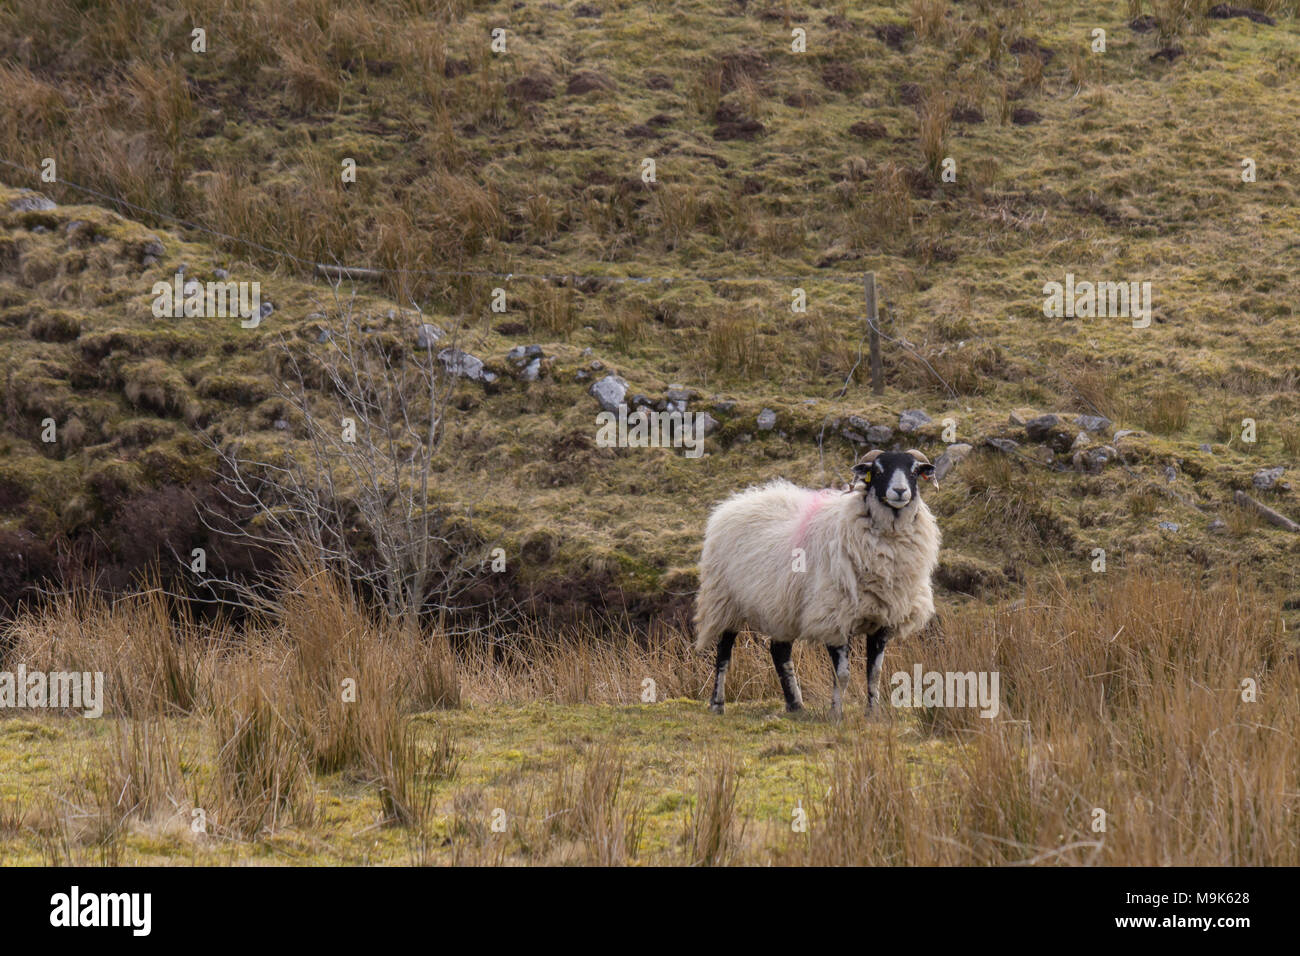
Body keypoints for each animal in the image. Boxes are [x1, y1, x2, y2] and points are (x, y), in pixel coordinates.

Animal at [693, 448, 941, 719]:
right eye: (877, 471)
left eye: (914, 471)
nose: (899, 491)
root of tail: (733, 502)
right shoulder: (833, 616)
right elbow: (842, 674)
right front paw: (836, 714)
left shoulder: (882, 620)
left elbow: (874, 673)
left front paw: (872, 714)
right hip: (725, 601)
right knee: (723, 653)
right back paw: (717, 703)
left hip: (782, 607)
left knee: (779, 651)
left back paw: (795, 705)